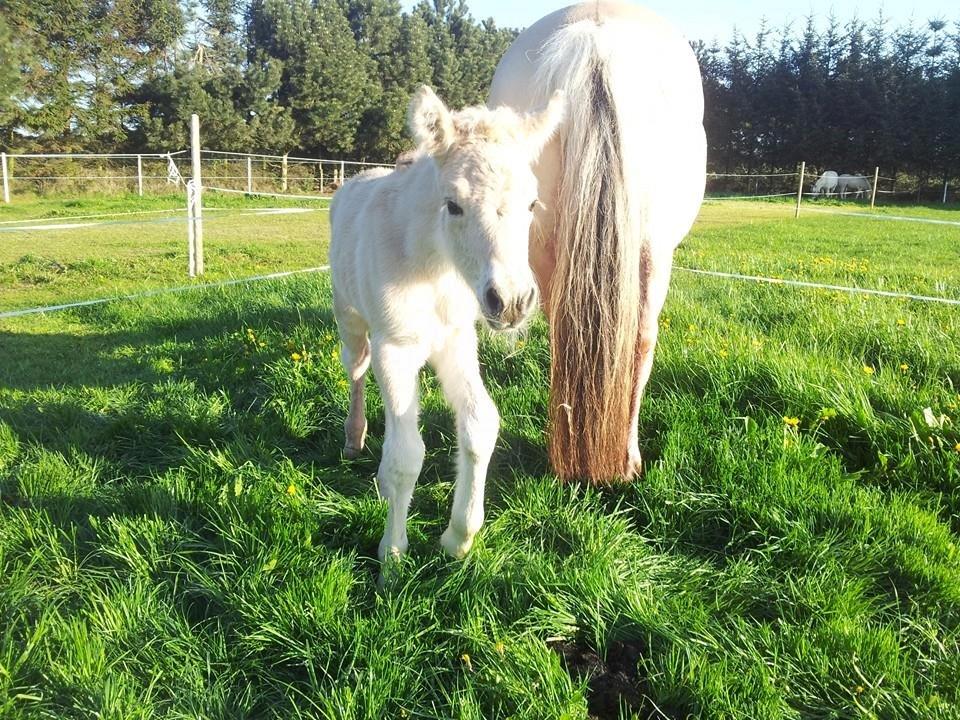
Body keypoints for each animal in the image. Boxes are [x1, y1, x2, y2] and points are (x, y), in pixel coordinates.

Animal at [330, 84, 564, 564]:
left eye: (532, 202)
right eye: (453, 205)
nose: (512, 302)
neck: (433, 269)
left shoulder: (456, 341)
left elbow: (480, 423)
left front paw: (459, 537)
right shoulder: (395, 347)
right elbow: (406, 454)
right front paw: (392, 553)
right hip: (350, 319)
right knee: (357, 370)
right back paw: (354, 440)